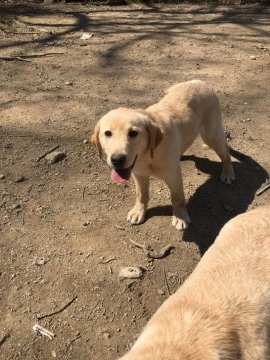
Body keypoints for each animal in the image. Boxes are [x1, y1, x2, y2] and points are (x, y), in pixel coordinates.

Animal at [90, 80, 234, 229]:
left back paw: (228, 173)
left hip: (211, 136)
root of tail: (199, 82)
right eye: (107, 133)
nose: (117, 159)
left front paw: (180, 217)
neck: (148, 156)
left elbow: (177, 197)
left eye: (133, 133)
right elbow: (141, 195)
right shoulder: (139, 174)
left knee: (225, 152)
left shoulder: (173, 175)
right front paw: (138, 211)